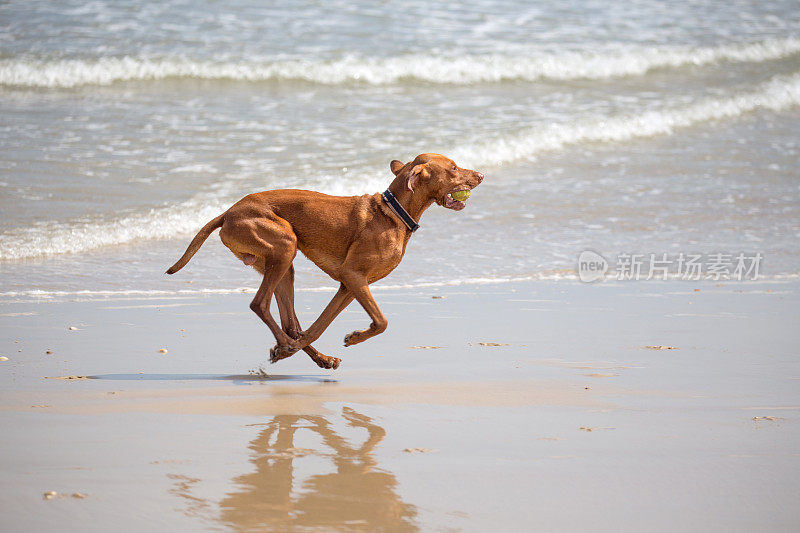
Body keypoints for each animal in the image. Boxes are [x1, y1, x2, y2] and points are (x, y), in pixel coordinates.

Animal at [166, 152, 484, 368]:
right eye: (454, 168)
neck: (393, 213)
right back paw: (287, 346)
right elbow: (381, 322)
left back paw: (314, 356)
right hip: (285, 246)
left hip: (283, 265)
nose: (481, 175)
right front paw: (353, 337)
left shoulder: (349, 285)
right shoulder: (353, 276)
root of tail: (228, 212)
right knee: (260, 304)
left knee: (290, 324)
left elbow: (318, 326)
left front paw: (317, 345)